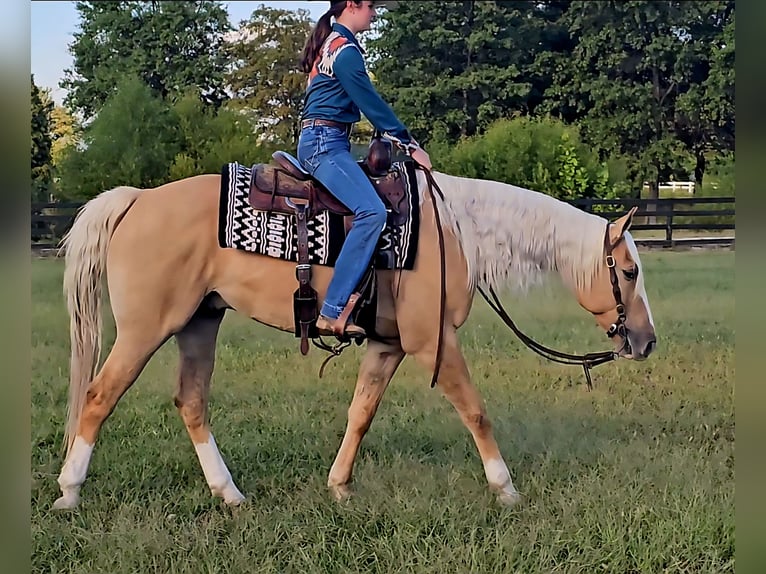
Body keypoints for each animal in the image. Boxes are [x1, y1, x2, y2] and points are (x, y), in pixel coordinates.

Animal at [52, 164, 656, 510]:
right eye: (629, 271)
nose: (646, 341)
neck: (454, 231)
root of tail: (138, 199)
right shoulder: (433, 341)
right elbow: (476, 412)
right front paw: (505, 488)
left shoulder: (390, 345)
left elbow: (361, 412)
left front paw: (340, 486)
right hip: (145, 329)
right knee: (98, 397)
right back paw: (69, 493)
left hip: (202, 321)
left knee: (191, 403)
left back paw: (231, 495)